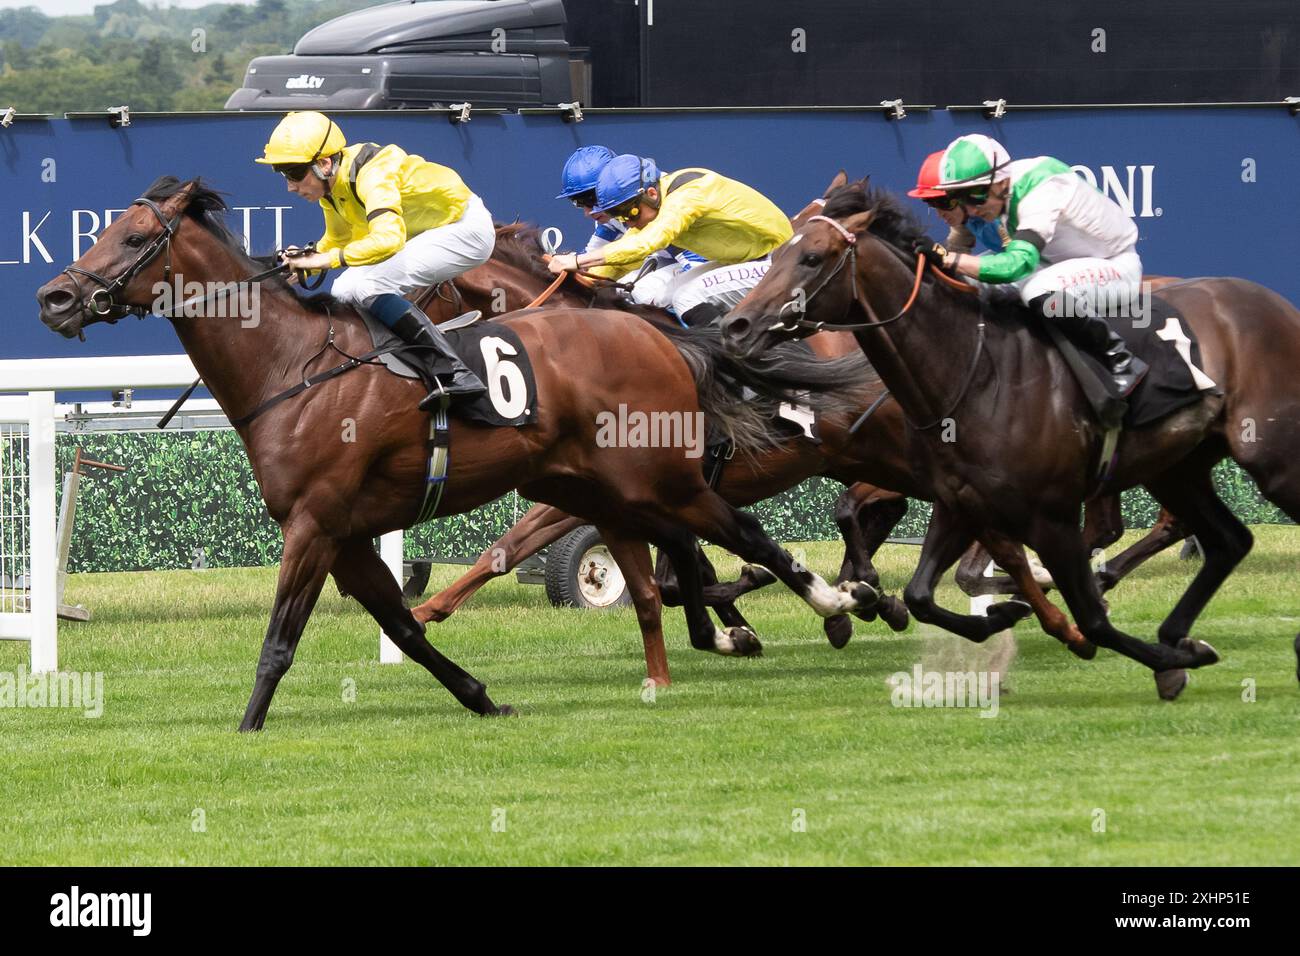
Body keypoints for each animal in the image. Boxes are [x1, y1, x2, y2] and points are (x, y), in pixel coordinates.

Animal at [35, 179, 883, 728]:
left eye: (135, 239)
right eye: (101, 231)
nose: (56, 298)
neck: (289, 366)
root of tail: (657, 335)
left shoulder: (313, 523)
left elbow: (279, 638)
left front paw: (247, 727)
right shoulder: (345, 533)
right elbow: (406, 628)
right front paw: (481, 696)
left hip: (661, 480)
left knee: (750, 535)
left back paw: (839, 602)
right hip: (605, 489)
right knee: (668, 572)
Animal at [722, 180, 1300, 702]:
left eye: (812, 258)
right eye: (778, 251)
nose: (737, 324)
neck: (974, 372)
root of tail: (1275, 302)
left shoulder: (1050, 513)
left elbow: (1089, 617)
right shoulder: (959, 503)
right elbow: (923, 592)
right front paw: (996, 613)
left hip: (1271, 458)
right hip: (1178, 468)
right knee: (1227, 540)